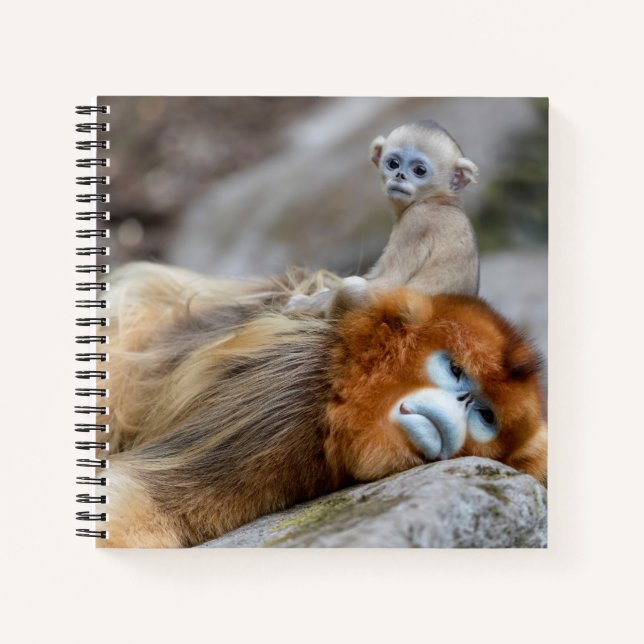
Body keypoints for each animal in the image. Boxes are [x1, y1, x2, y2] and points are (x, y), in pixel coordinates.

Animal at [285, 120, 480, 317]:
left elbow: (389, 284)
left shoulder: (417, 221)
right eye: (393, 163)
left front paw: (305, 304)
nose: (400, 175)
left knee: (353, 287)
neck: (439, 201)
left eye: (419, 170)